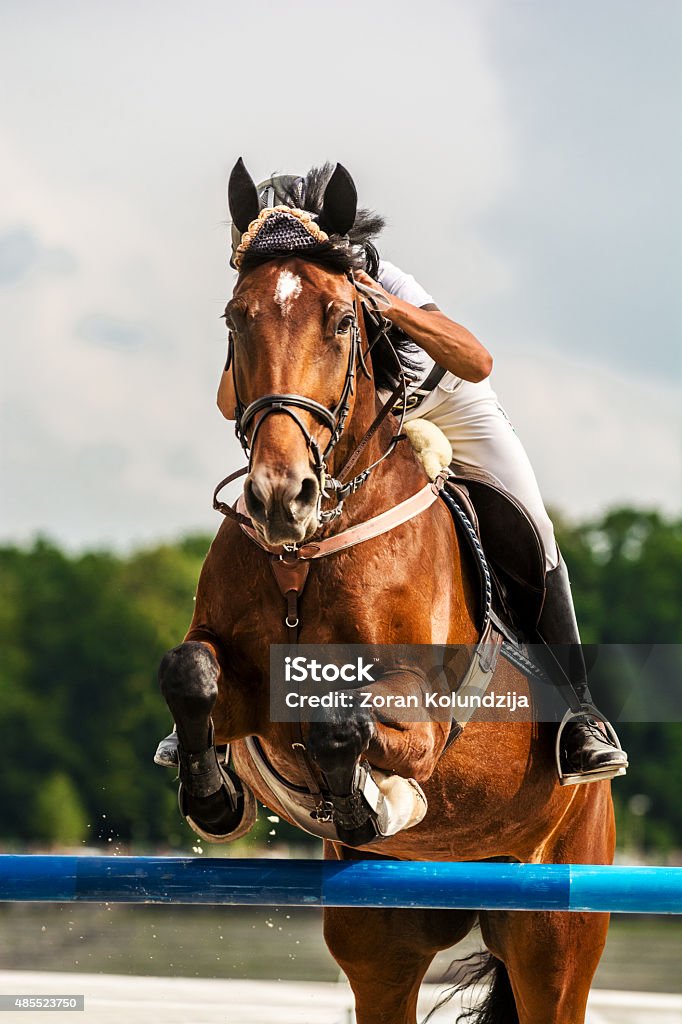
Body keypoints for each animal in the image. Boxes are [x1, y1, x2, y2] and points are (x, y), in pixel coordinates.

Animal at [157, 159, 610, 1024]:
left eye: (341, 320)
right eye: (235, 319)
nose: (280, 497)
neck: (307, 549)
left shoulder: (425, 719)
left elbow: (344, 720)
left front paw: (371, 799)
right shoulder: (241, 685)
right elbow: (190, 673)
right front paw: (214, 795)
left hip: (556, 931)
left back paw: (585, 744)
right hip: (384, 942)